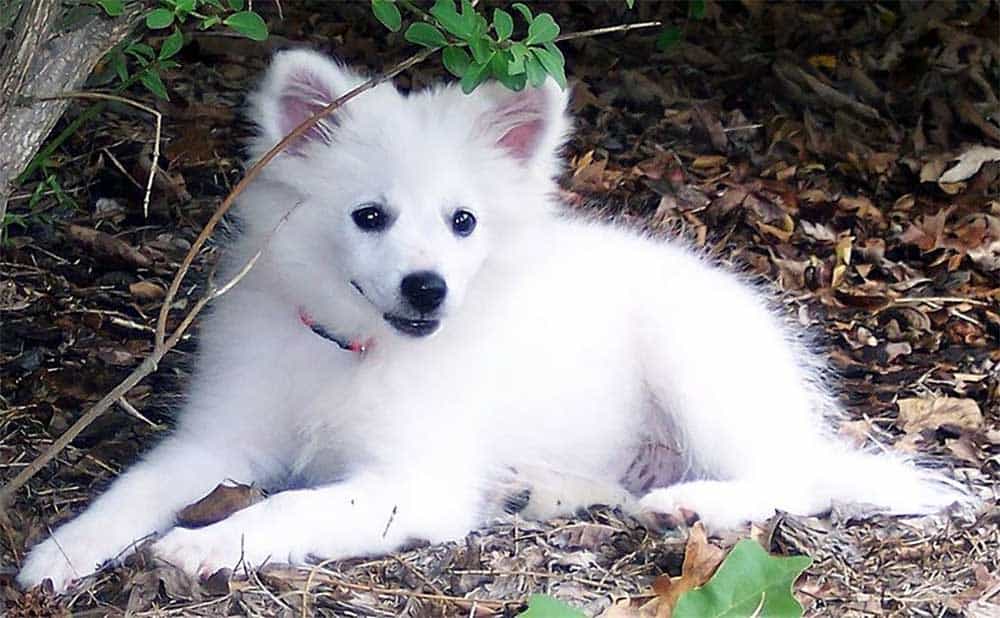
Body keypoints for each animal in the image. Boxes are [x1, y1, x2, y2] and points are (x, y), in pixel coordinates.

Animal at [21, 48, 960, 588]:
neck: (355, 349)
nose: (428, 288)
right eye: (369, 216)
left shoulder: (412, 482)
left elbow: (292, 508)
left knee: (788, 479)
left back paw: (694, 506)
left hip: (693, 365)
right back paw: (537, 489)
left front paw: (207, 544)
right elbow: (137, 486)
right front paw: (62, 552)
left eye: (463, 221)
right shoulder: (220, 440)